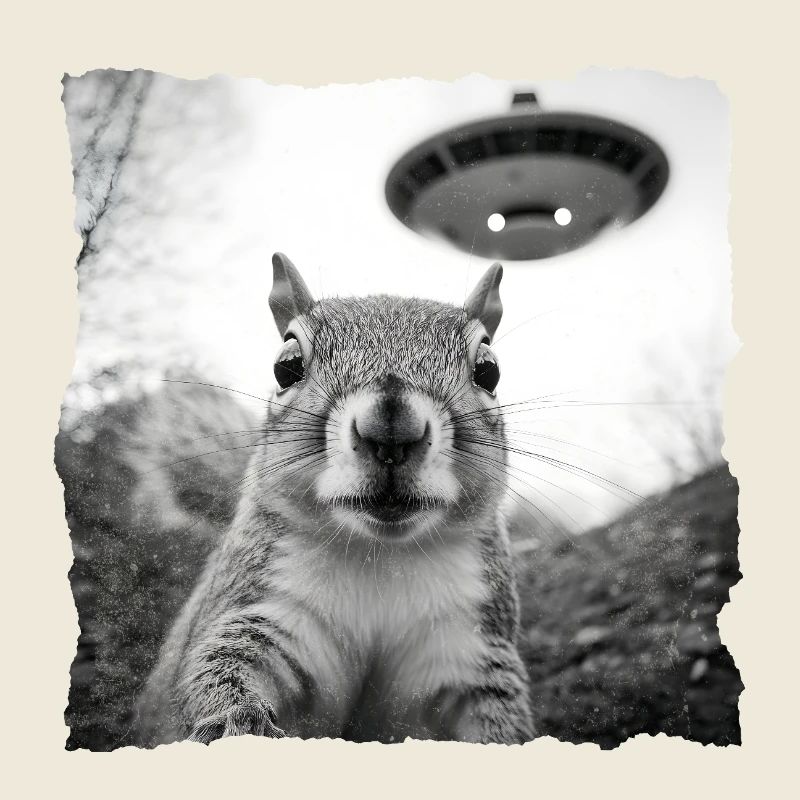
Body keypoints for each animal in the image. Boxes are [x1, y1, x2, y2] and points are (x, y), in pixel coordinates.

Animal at [135, 253, 534, 745]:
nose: (392, 429)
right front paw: (237, 723)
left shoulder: (469, 647)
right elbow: (220, 664)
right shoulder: (266, 608)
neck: (381, 555)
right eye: (286, 366)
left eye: (489, 370)